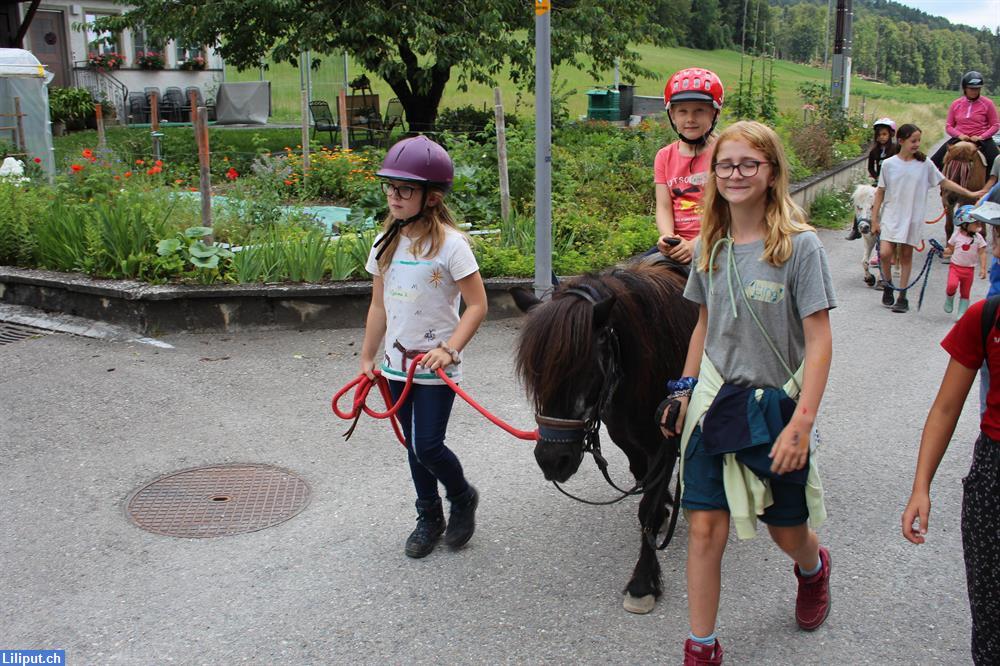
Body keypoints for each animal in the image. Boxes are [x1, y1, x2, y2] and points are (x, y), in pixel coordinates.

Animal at [516, 260, 696, 612]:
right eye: (534, 374)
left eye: (580, 369)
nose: (552, 460)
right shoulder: (628, 440)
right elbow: (643, 481)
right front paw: (664, 509)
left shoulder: (665, 442)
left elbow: (647, 507)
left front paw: (642, 582)